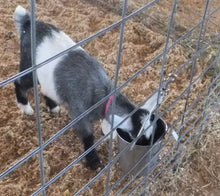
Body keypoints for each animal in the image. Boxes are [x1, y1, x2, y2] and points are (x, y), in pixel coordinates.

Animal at [13, 5, 154, 169]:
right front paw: (93, 161)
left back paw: (53, 107)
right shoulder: (79, 112)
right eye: (139, 139)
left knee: (45, 90)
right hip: (29, 65)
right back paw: (25, 108)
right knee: (19, 82)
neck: (102, 94)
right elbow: (87, 135)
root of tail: (28, 23)